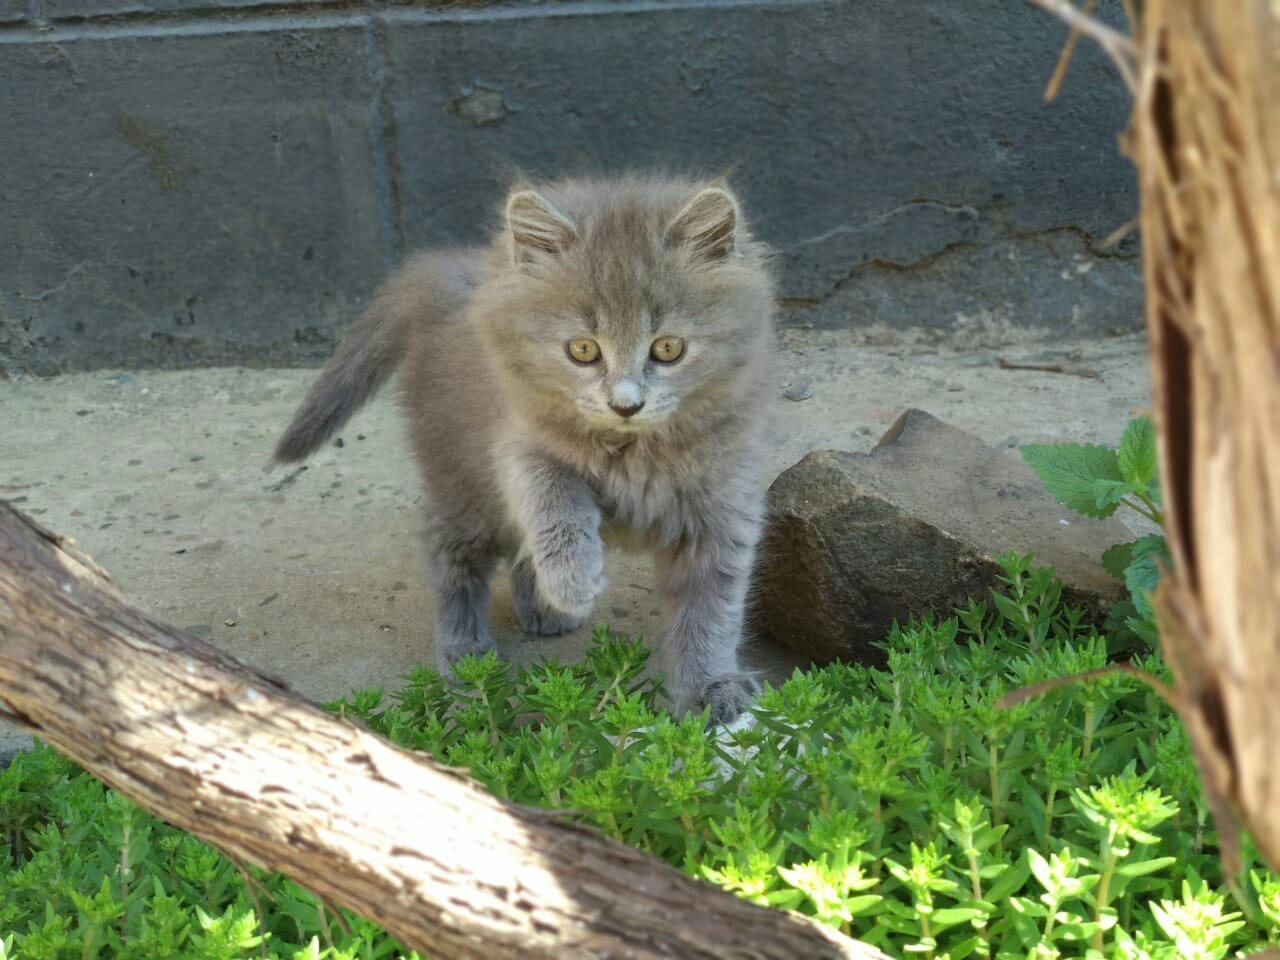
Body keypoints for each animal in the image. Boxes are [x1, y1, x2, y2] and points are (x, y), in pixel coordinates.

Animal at [279, 176, 773, 727]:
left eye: (668, 348)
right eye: (583, 350)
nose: (625, 404)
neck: (633, 451)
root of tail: (455, 277)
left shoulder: (722, 507)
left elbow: (710, 612)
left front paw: (713, 689)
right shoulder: (519, 445)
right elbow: (553, 505)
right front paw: (574, 581)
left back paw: (543, 609)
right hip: (463, 483)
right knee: (451, 553)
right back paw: (466, 649)